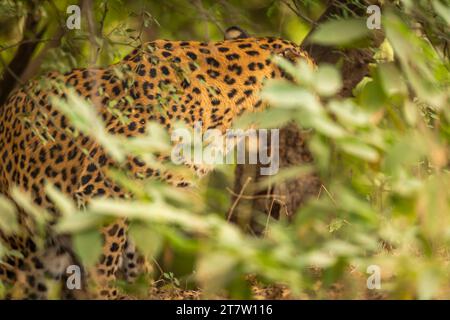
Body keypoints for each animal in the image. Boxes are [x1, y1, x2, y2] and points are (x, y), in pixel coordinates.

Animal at [0, 26, 312, 298]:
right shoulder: (103, 186)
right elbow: (104, 257)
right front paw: (105, 293)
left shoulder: (149, 195)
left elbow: (136, 251)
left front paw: (140, 288)